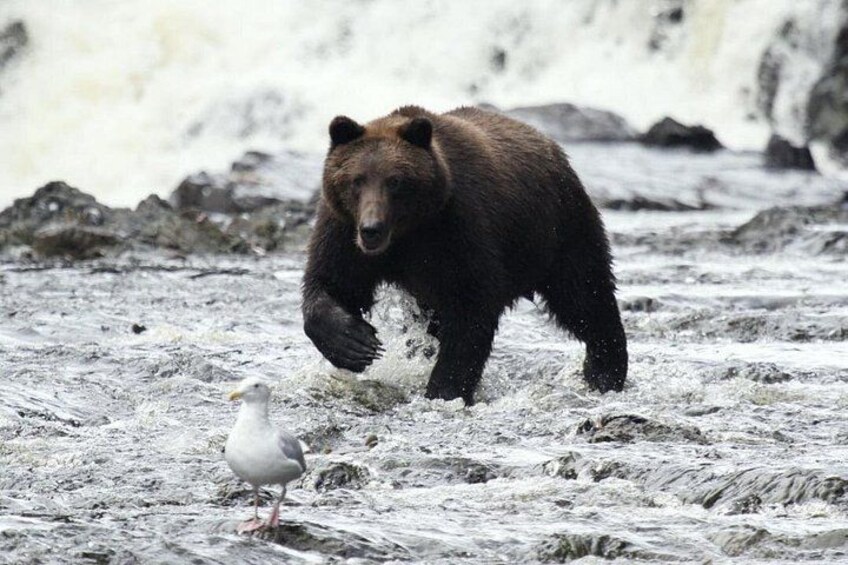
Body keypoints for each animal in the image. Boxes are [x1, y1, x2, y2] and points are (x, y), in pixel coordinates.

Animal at [302, 105, 627, 405]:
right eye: (356, 180)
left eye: (395, 181)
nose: (372, 229)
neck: (408, 234)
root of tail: (552, 146)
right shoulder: (343, 230)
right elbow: (332, 283)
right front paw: (354, 343)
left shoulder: (459, 228)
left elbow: (470, 308)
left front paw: (444, 389)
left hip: (557, 229)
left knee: (583, 295)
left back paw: (605, 370)